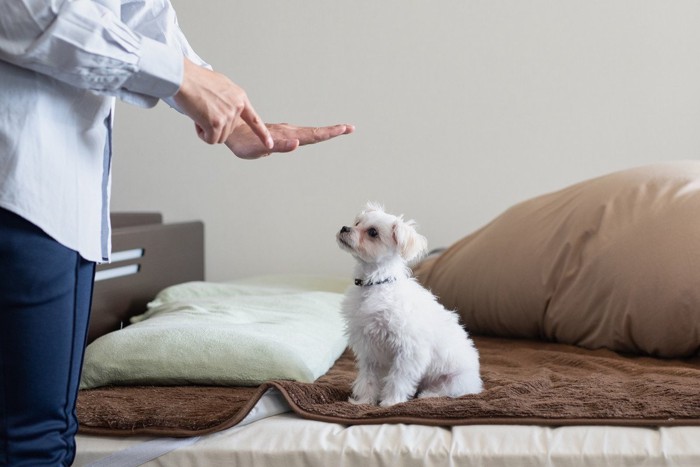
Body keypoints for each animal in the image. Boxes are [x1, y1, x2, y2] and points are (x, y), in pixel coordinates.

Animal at [338, 203, 482, 408]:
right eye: (357, 222)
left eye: (373, 232)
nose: (345, 228)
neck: (376, 284)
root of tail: (476, 384)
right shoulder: (370, 351)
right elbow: (368, 379)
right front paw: (364, 402)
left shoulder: (409, 350)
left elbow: (398, 379)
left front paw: (390, 402)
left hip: (454, 381)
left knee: (447, 392)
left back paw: (428, 395)